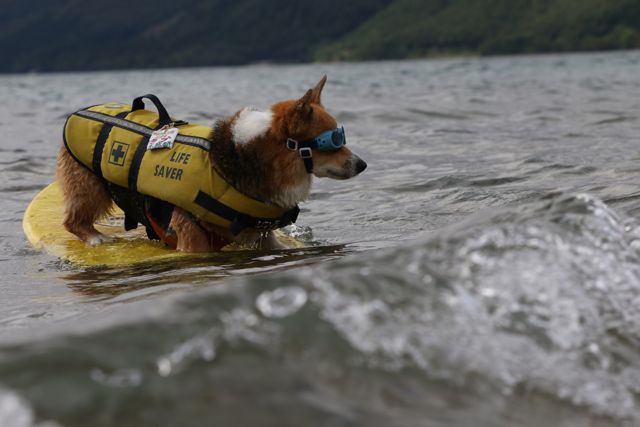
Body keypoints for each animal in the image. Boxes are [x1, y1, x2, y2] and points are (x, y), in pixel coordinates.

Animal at [57, 75, 368, 252]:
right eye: (331, 141)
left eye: (340, 135)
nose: (363, 165)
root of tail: (79, 111)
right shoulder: (191, 235)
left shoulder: (262, 235)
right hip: (91, 187)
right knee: (72, 220)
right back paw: (96, 239)